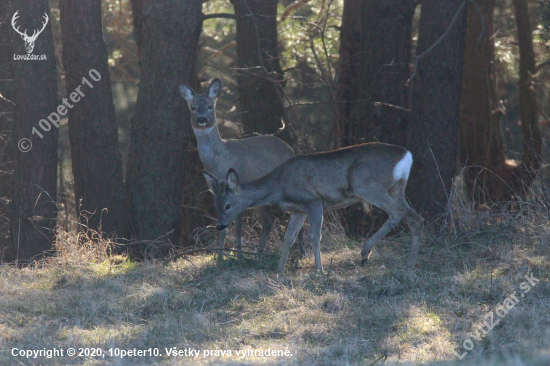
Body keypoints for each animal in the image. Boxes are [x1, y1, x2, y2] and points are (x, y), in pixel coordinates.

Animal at [180, 79, 298, 260]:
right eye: (193, 107)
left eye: (209, 106)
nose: (201, 119)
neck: (221, 160)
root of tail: (290, 149)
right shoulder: (217, 192)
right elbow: (223, 226)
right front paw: (220, 257)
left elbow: (237, 227)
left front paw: (238, 256)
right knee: (268, 220)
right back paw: (258, 255)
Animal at [205, 143, 424, 274]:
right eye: (215, 204)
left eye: (228, 205)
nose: (219, 226)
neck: (280, 185)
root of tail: (407, 155)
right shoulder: (298, 209)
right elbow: (288, 238)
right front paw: (279, 272)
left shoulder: (314, 201)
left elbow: (315, 237)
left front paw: (319, 271)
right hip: (396, 189)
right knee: (416, 218)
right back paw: (410, 266)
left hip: (367, 185)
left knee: (398, 213)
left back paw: (365, 253)